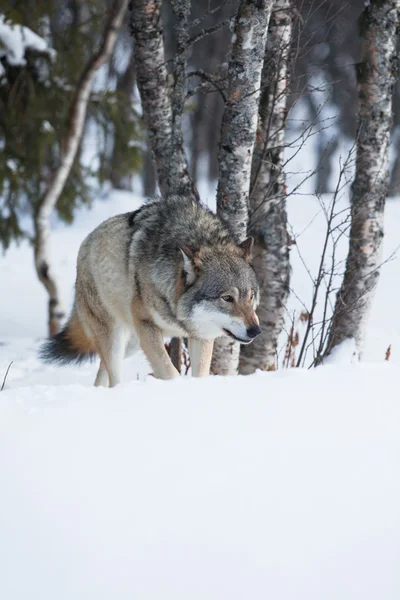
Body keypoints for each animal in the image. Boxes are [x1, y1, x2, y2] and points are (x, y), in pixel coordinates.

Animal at [40, 195, 260, 386]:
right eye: (227, 298)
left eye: (251, 296)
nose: (255, 331)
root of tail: (85, 243)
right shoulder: (147, 326)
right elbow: (170, 371)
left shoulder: (201, 335)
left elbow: (200, 373)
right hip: (116, 338)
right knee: (113, 375)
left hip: (132, 344)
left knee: (102, 372)